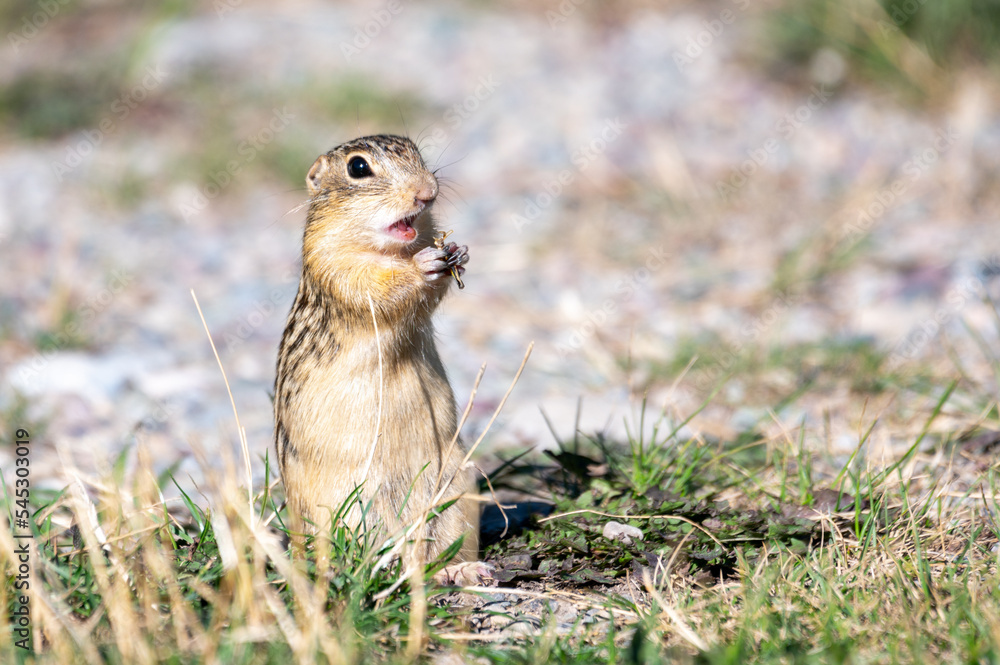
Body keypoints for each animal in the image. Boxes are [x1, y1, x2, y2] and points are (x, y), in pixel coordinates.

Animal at [274, 134, 487, 581]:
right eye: (358, 168)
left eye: (416, 151)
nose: (427, 191)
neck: (393, 248)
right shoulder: (334, 265)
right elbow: (380, 285)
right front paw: (427, 262)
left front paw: (458, 251)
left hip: (458, 493)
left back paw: (463, 571)